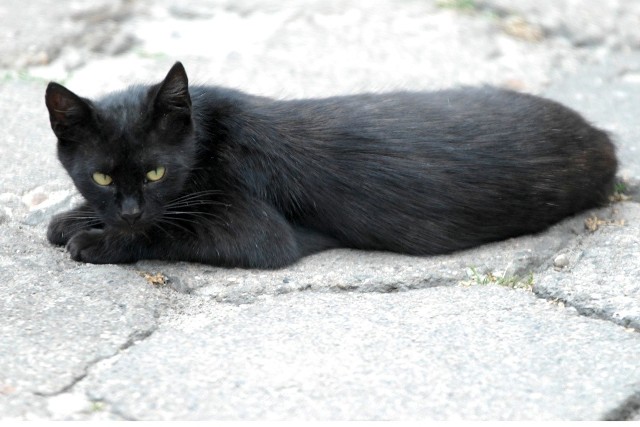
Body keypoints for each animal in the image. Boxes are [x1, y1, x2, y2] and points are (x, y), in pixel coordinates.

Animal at [42, 61, 616, 270]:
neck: (208, 138)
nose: (130, 212)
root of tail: (603, 140)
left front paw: (99, 240)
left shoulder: (259, 234)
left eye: (156, 173)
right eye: (101, 176)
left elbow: (171, 228)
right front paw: (75, 218)